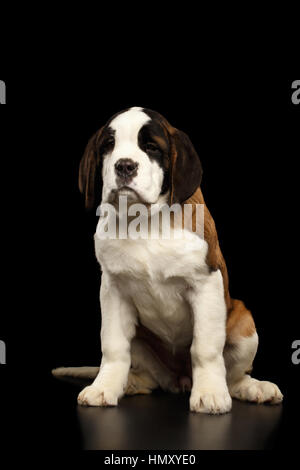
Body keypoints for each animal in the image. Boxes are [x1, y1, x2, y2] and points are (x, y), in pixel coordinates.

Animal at [52, 107, 282, 414]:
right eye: (108, 145)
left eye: (151, 147)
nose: (124, 166)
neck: (145, 220)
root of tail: (179, 378)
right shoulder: (113, 289)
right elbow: (113, 346)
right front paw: (104, 387)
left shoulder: (206, 284)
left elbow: (205, 349)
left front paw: (209, 393)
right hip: (143, 343)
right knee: (149, 375)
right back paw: (131, 383)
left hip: (244, 322)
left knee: (234, 376)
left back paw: (252, 387)